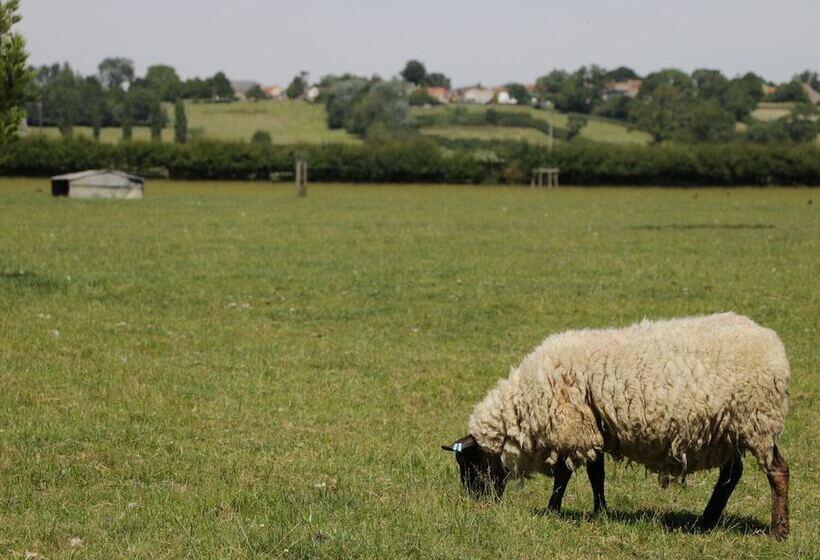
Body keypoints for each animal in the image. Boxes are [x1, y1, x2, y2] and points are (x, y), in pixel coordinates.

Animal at [446, 312, 792, 540]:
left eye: (470, 464)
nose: (477, 503)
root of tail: (774, 346)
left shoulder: (574, 429)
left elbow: (564, 475)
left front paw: (553, 509)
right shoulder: (594, 430)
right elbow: (596, 475)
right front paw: (600, 512)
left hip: (755, 419)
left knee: (777, 470)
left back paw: (779, 531)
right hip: (729, 429)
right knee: (731, 475)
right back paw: (706, 522)